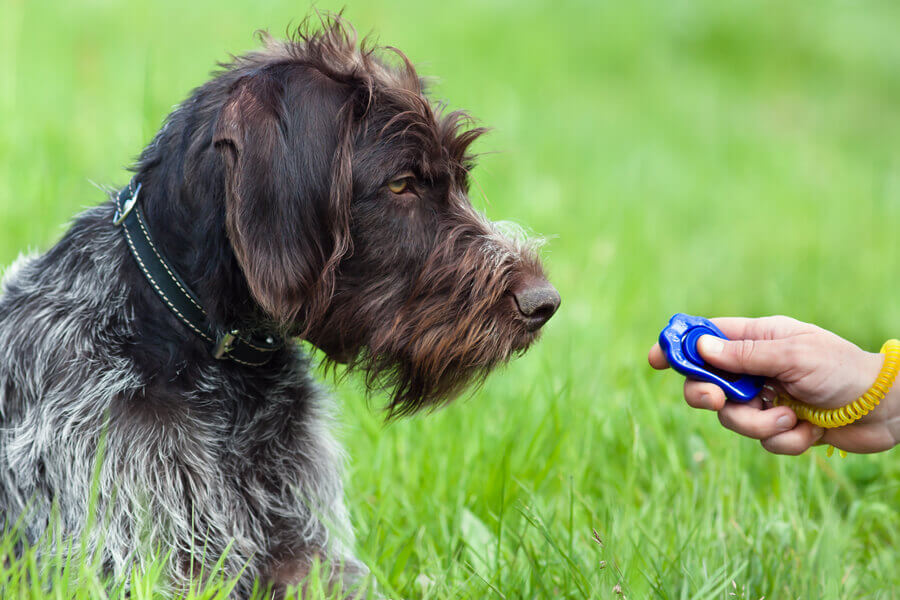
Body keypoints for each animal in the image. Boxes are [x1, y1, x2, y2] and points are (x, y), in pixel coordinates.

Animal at [0, 16, 560, 596]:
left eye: (461, 182)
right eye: (402, 183)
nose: (543, 302)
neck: (216, 365)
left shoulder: (306, 551)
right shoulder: (152, 564)